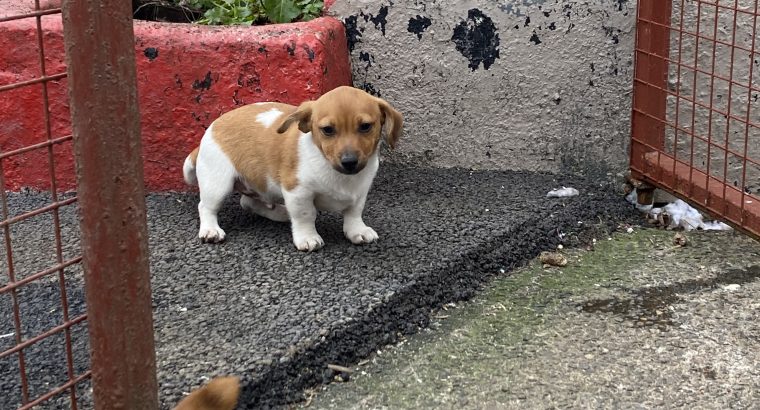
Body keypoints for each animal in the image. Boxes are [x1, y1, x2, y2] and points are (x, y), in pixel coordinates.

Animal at [183, 85, 404, 251]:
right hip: (217, 184)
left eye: (366, 126)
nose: (349, 161)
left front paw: (357, 230)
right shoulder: (298, 192)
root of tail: (210, 131)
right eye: (327, 130)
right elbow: (306, 215)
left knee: (248, 202)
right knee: (206, 207)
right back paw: (210, 230)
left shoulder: (360, 192)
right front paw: (308, 237)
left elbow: (354, 212)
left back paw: (281, 213)